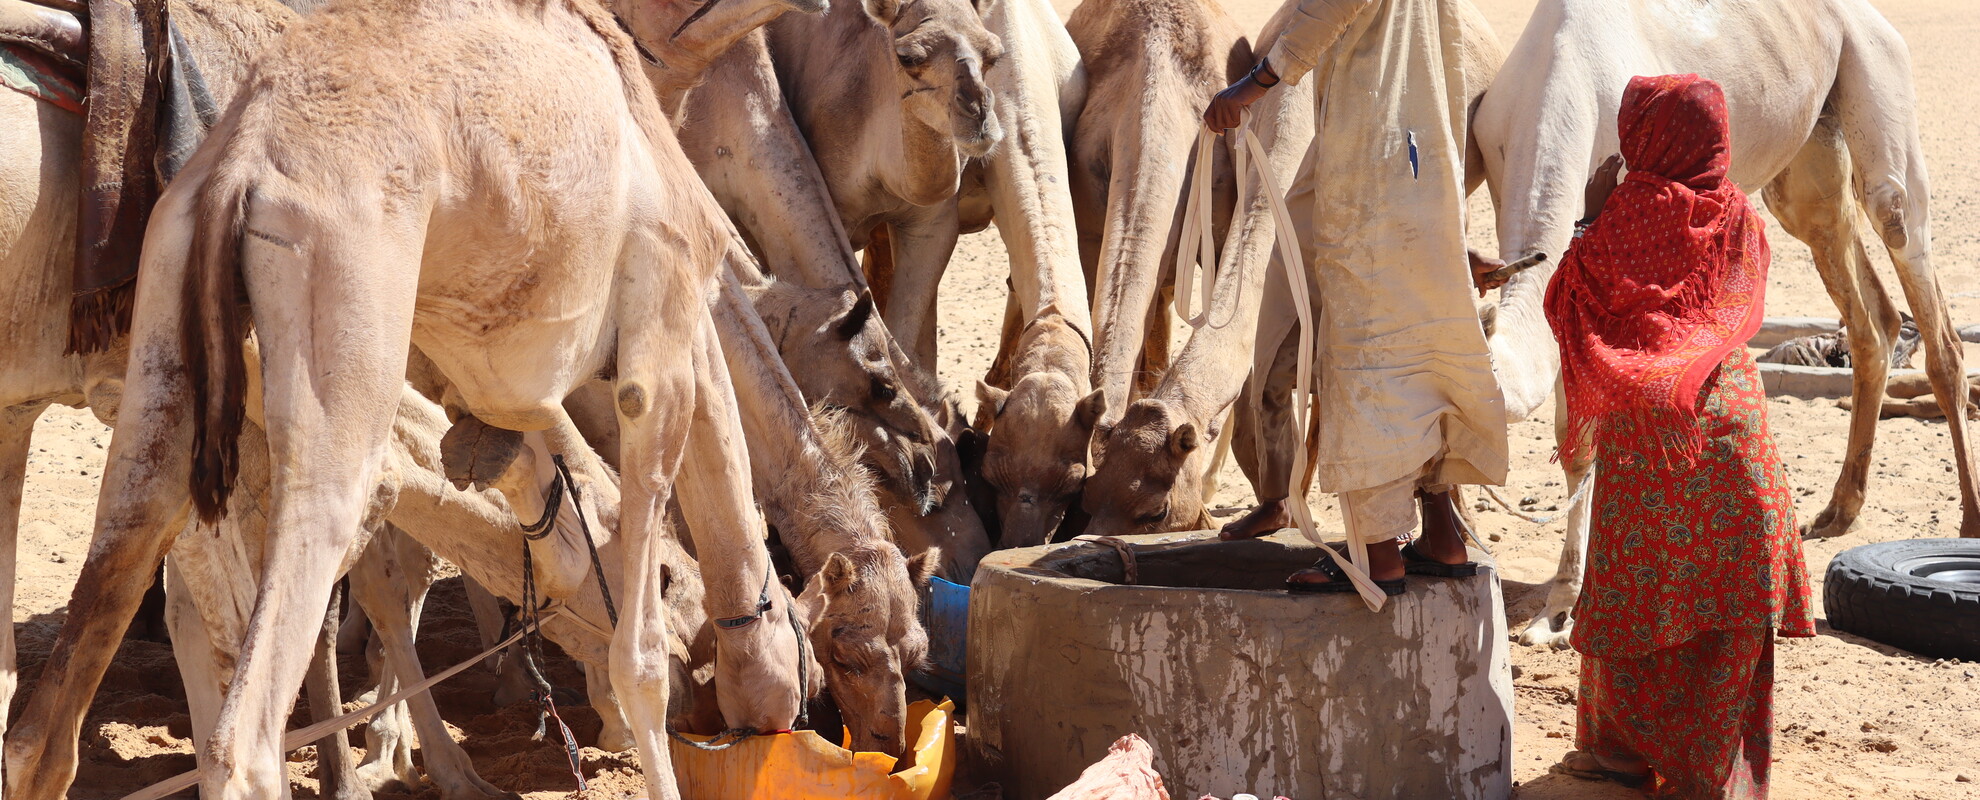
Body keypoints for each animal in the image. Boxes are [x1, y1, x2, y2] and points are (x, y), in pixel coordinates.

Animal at [3, 3, 811, 796]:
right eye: (808, 636)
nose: (792, 713)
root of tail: (236, 167)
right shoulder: (660, 353)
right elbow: (635, 651)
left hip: (162, 352)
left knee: (48, 723)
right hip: (339, 324)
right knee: (246, 728)